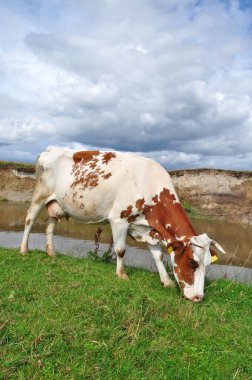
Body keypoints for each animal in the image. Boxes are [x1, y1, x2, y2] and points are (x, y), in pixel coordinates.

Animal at [20, 147, 224, 302]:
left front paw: (166, 281)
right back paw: (23, 249)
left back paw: (51, 252)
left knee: (50, 226)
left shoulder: (149, 229)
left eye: (208, 264)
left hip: (56, 204)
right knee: (29, 220)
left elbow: (158, 256)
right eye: (192, 262)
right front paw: (121, 274)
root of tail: (50, 149)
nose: (199, 297)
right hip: (40, 196)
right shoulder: (119, 219)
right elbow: (120, 250)